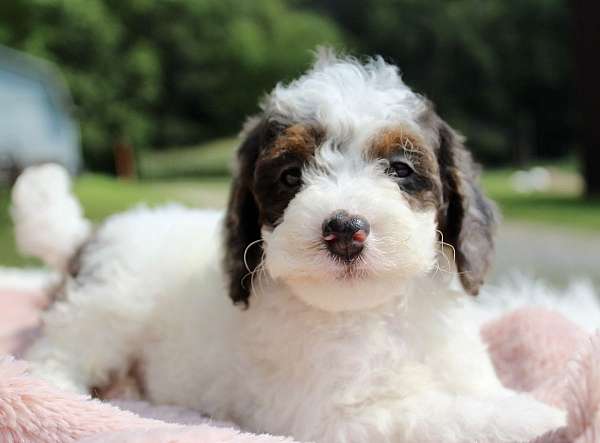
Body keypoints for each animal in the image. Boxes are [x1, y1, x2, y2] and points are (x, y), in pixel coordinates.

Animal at [15, 53, 568, 443]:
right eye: (290, 176)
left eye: (400, 169)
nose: (345, 228)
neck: (378, 312)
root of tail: (87, 237)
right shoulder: (335, 417)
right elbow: (434, 415)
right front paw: (533, 414)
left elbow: (471, 392)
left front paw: (517, 403)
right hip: (105, 310)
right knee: (52, 357)